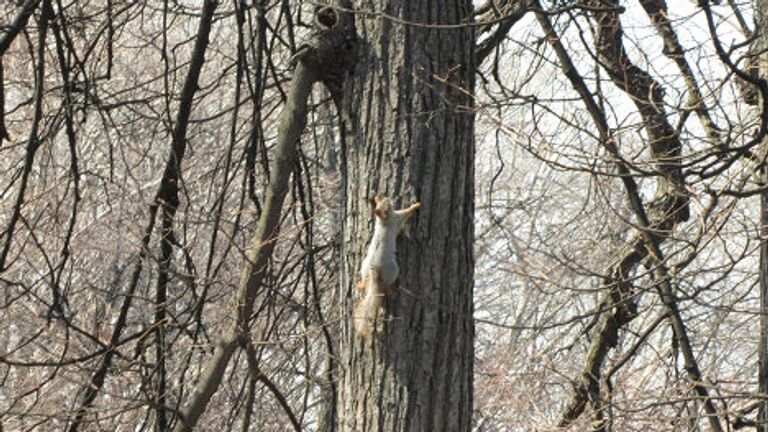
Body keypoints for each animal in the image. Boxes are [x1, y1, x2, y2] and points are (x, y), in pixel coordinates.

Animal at [354, 194, 420, 340]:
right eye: (385, 204)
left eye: (382, 200)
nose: (384, 197)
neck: (383, 221)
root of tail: (374, 268)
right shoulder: (396, 219)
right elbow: (406, 213)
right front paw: (415, 206)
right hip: (392, 270)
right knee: (387, 285)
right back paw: (392, 292)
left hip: (364, 267)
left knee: (365, 281)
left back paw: (360, 284)